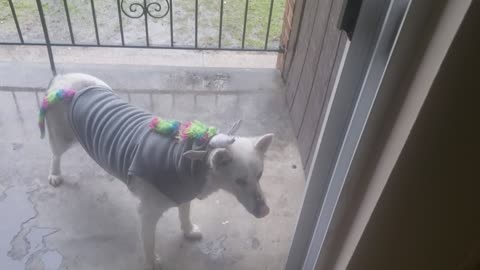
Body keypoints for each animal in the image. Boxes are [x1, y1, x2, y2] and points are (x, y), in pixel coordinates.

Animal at [40, 73, 274, 268]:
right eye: (239, 181)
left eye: (260, 175)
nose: (265, 212)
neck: (191, 159)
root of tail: (64, 80)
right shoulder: (147, 213)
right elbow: (149, 241)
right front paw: (152, 261)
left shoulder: (184, 193)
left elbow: (184, 214)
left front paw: (188, 231)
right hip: (62, 137)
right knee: (55, 154)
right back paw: (54, 174)